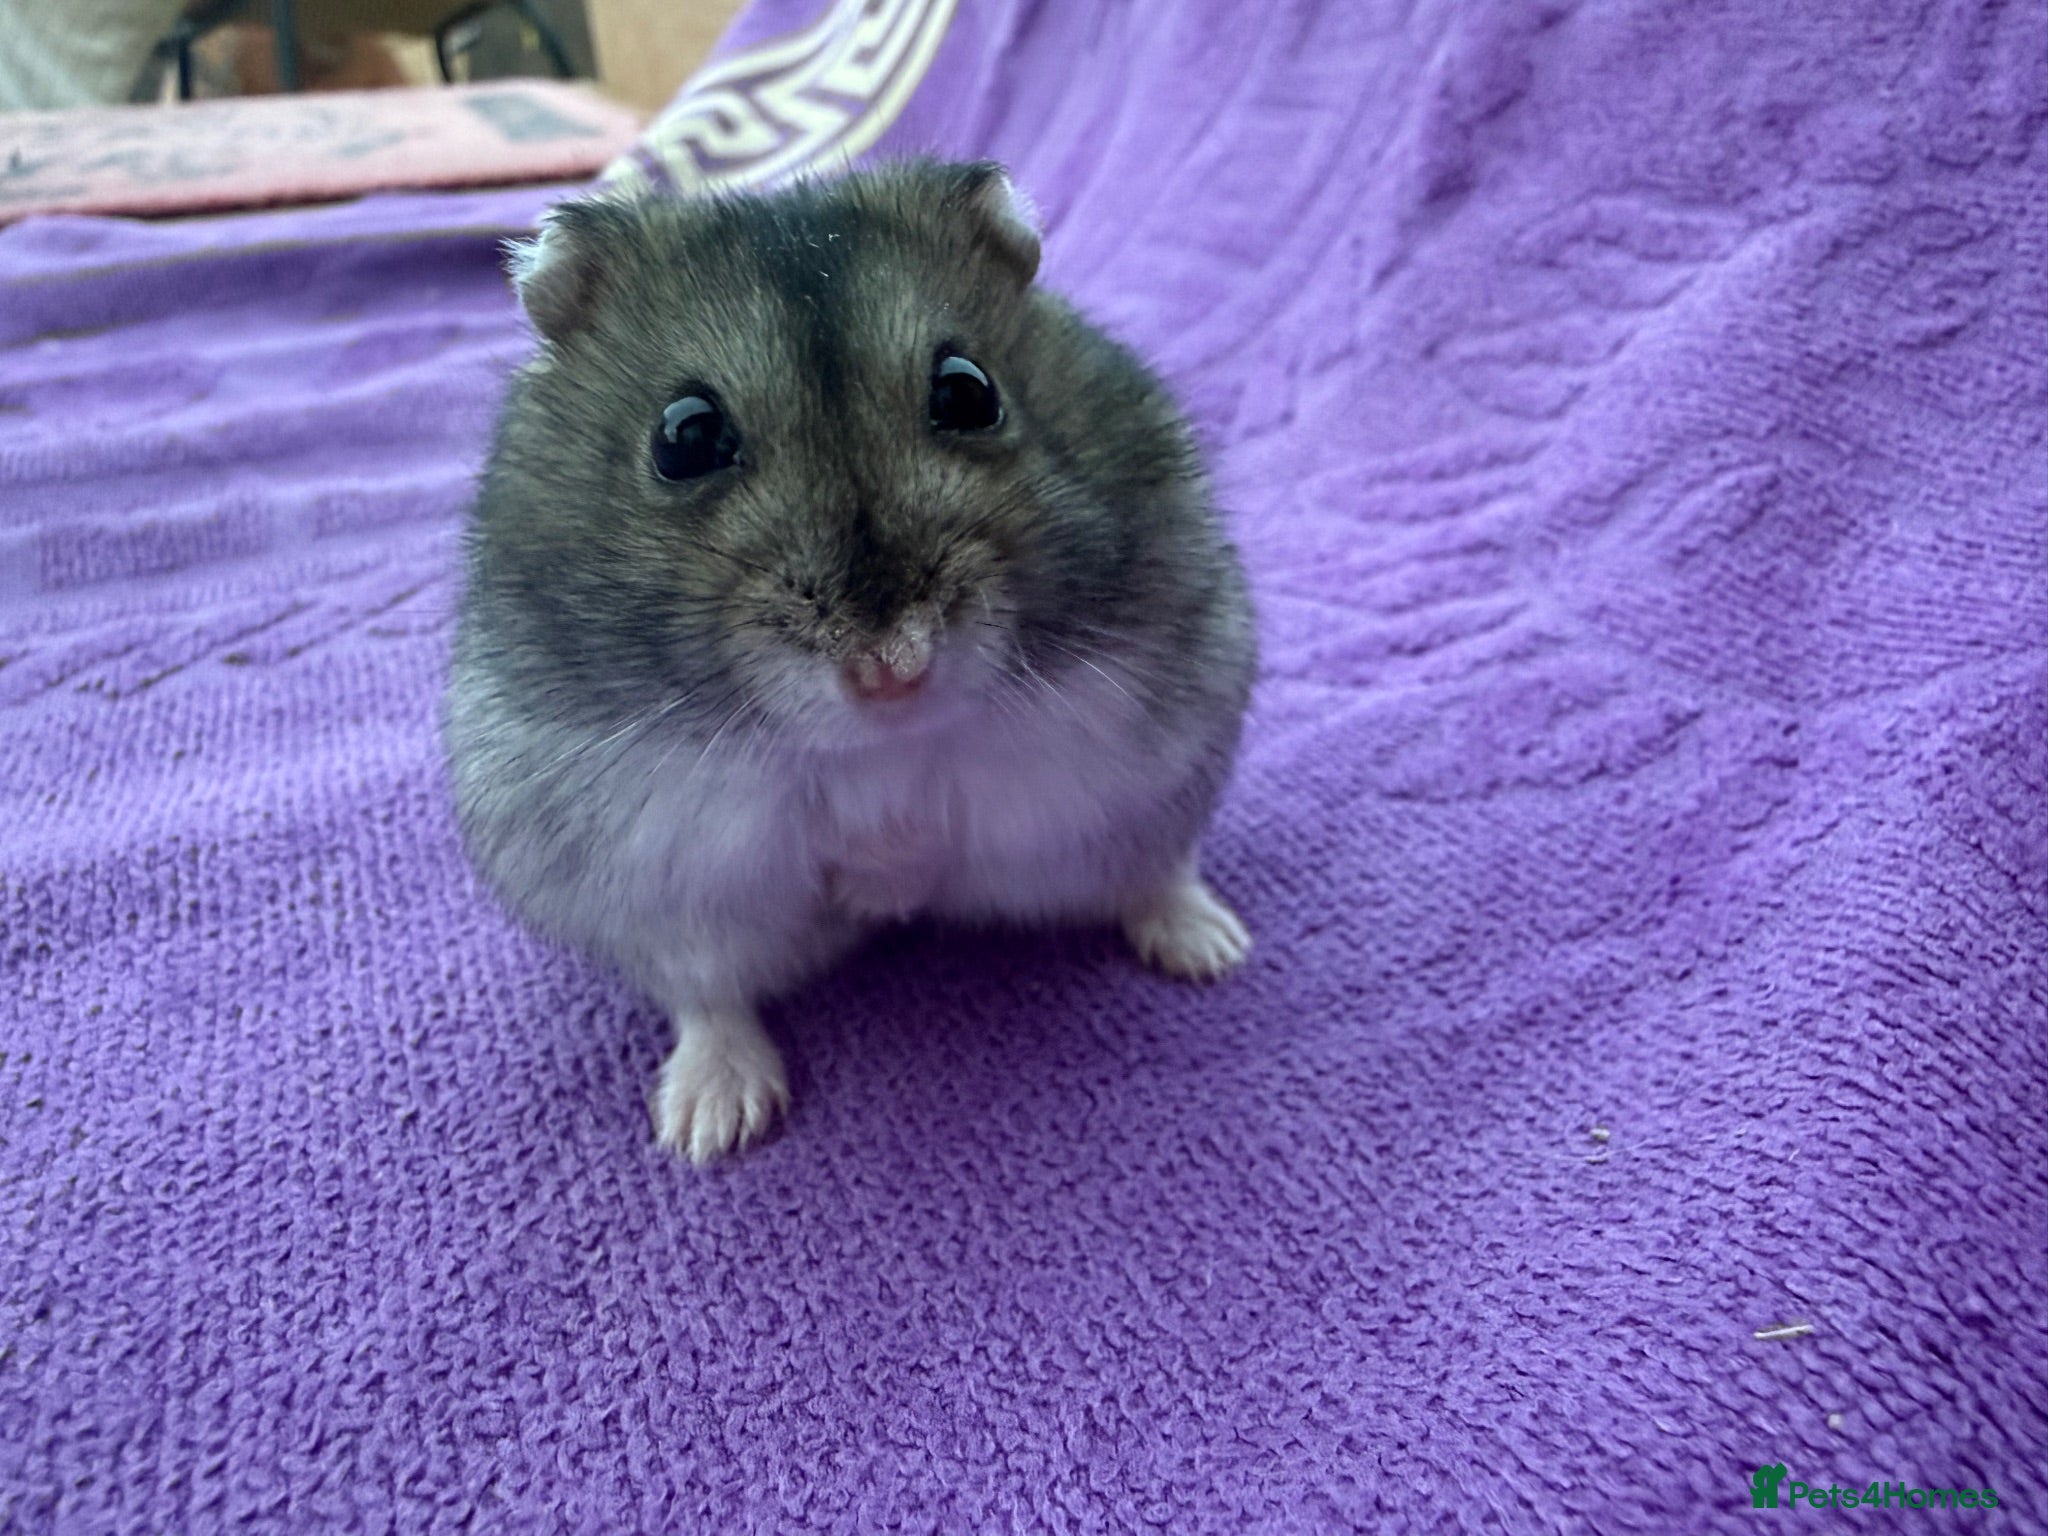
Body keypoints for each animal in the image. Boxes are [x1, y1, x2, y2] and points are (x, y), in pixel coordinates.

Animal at [444, 160, 1256, 1163]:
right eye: (683, 437)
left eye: (969, 391)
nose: (892, 672)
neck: (882, 744)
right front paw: (869, 885)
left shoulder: (1101, 710)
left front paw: (893, 876)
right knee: (708, 998)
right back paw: (711, 1125)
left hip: (1172, 775)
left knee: (1154, 873)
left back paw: (1212, 950)